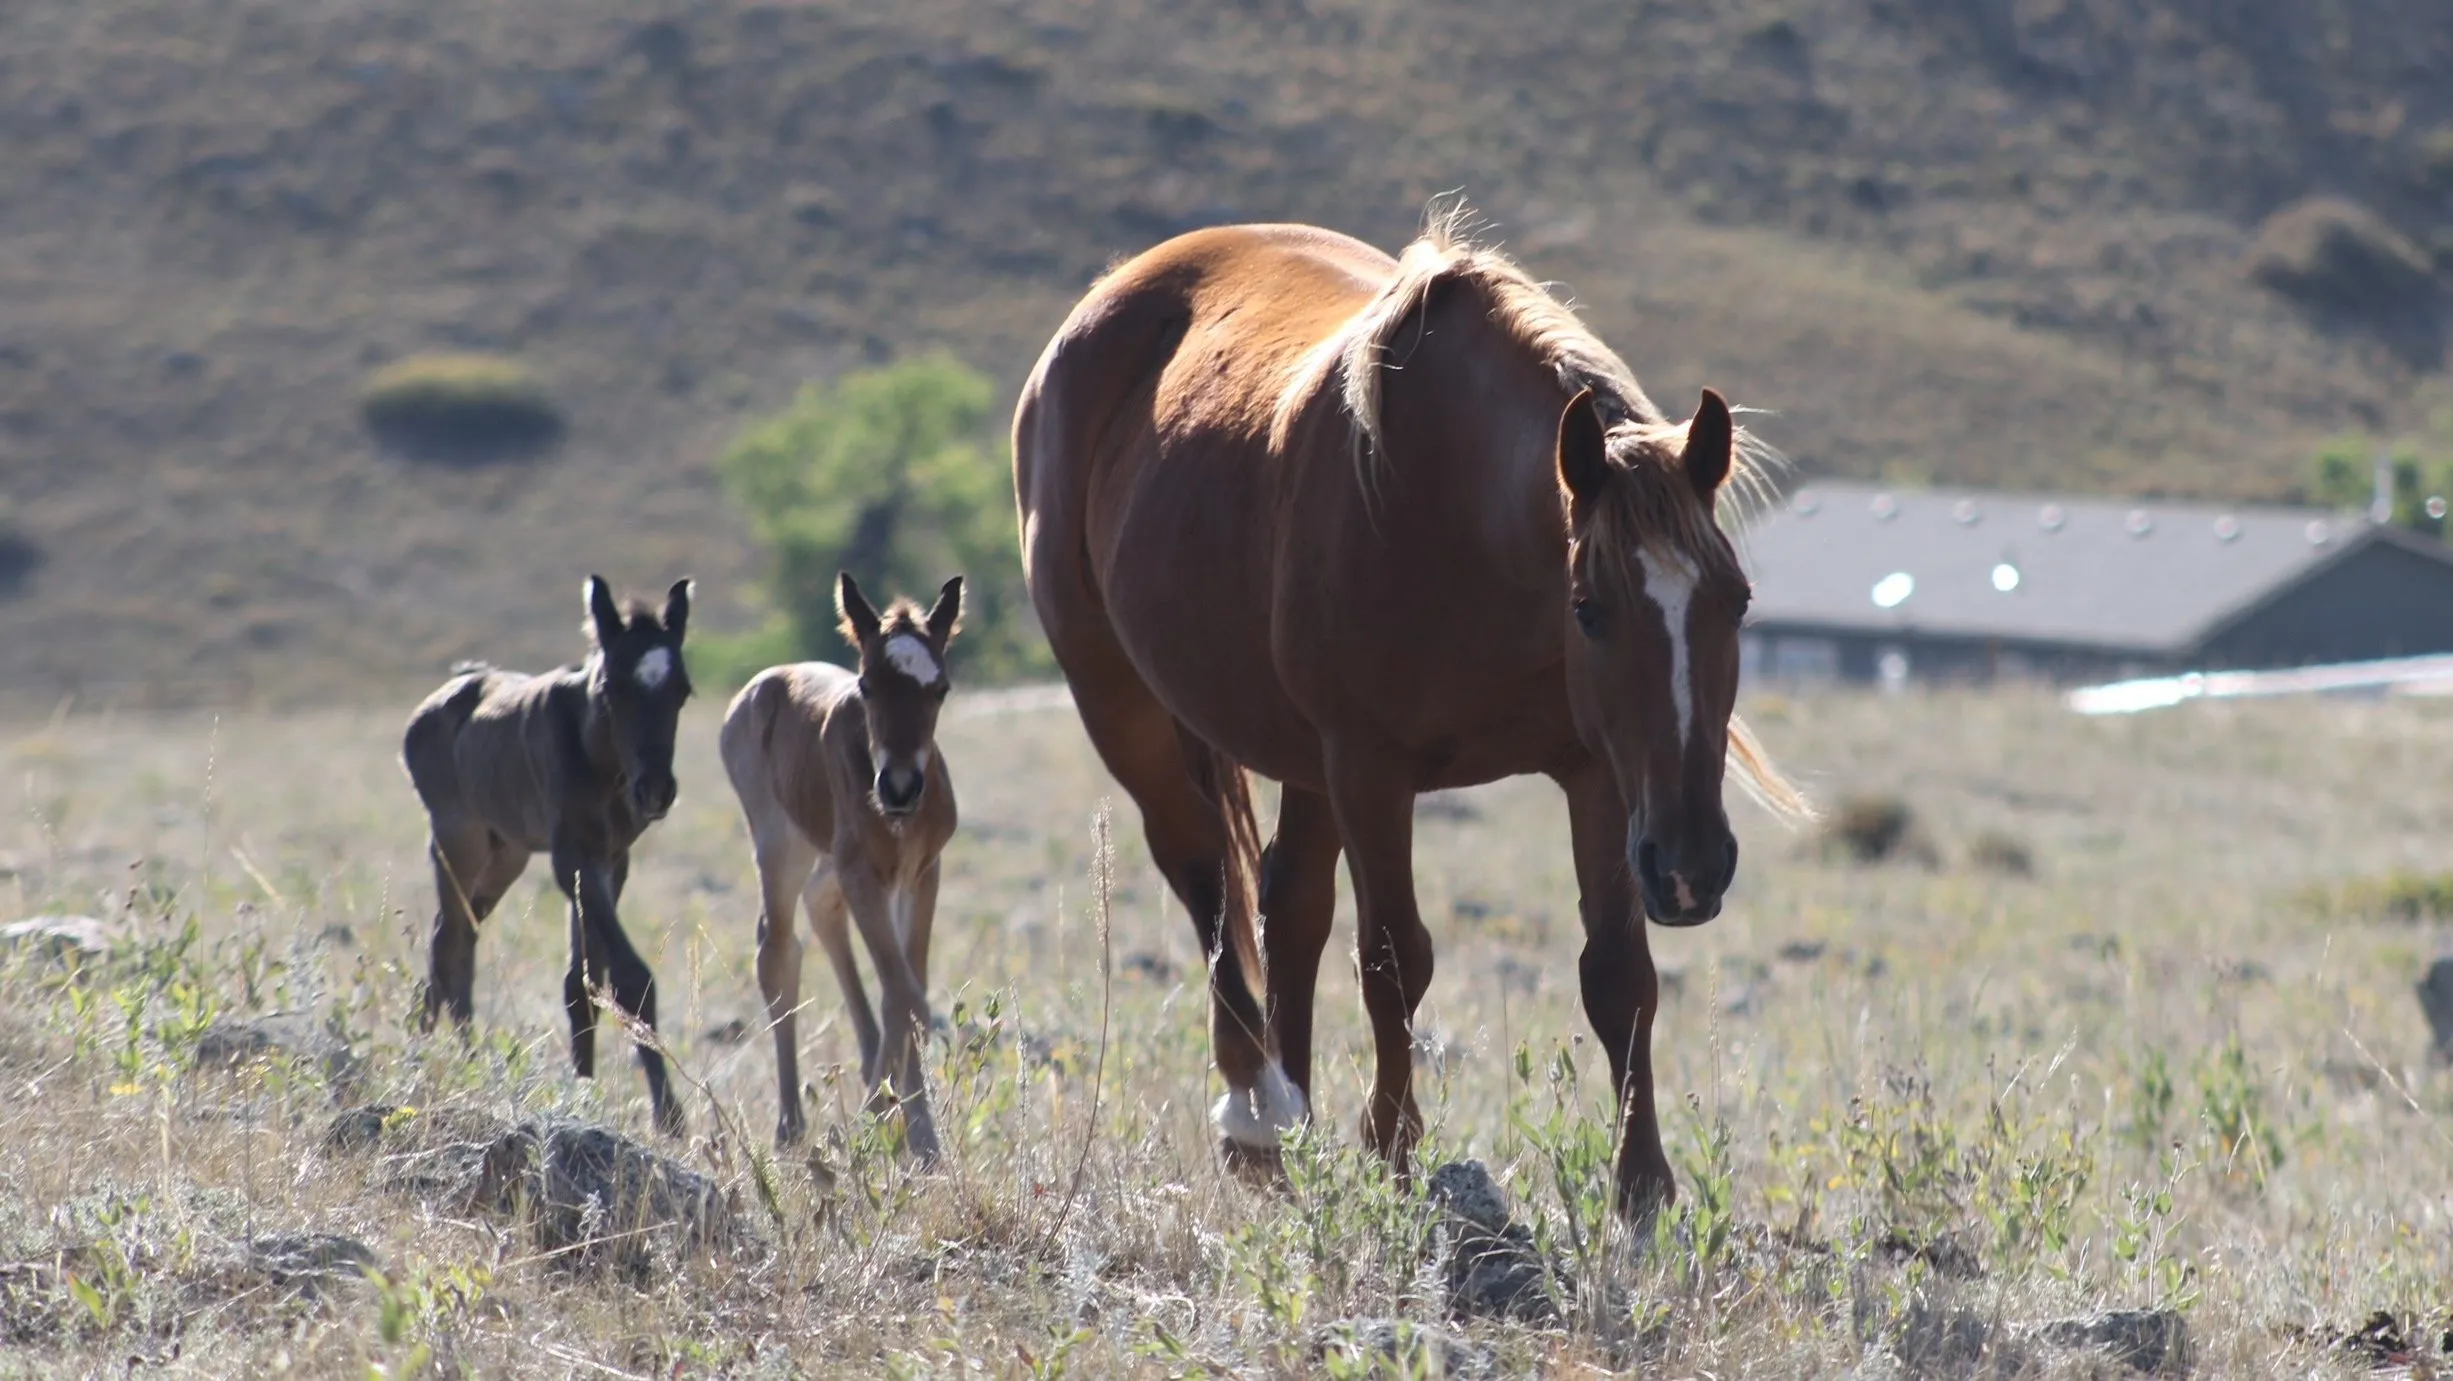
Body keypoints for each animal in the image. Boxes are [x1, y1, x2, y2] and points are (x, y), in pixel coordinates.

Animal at [716, 573, 956, 1157]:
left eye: (940, 689)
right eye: (867, 685)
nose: (899, 788)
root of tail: (759, 686)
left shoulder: (922, 872)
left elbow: (905, 991)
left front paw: (918, 1137)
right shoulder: (863, 874)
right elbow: (905, 994)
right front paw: (882, 1122)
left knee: (821, 905)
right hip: (780, 842)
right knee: (777, 948)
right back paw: (790, 1127)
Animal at [1010, 210, 1805, 1216]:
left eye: (1735, 601)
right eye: (1590, 608)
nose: (1691, 866)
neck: (1458, 517)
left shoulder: (1594, 772)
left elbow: (1617, 972)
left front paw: (1641, 1188)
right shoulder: (1371, 769)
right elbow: (1394, 960)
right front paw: (1393, 1155)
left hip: (1303, 759)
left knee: (1287, 907)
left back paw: (1291, 1127)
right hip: (1122, 703)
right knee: (1205, 879)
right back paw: (1255, 1112)